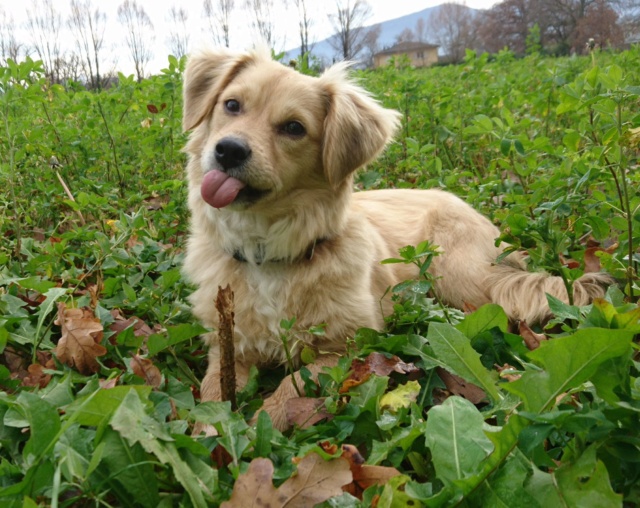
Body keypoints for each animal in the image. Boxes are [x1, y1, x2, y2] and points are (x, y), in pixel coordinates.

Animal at [181, 46, 608, 428]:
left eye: (294, 128)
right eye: (232, 105)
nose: (228, 150)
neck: (266, 249)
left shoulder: (348, 346)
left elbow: (290, 388)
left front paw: (256, 427)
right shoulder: (226, 343)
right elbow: (212, 394)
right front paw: (214, 433)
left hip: (460, 278)